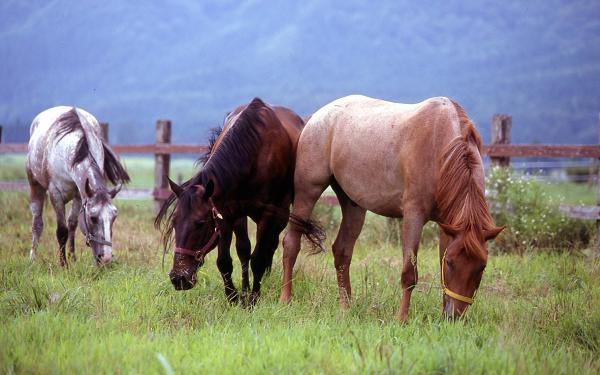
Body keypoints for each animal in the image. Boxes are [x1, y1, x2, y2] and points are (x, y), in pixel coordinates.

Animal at [26, 106, 129, 268]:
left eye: (114, 217)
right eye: (93, 218)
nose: (106, 258)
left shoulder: (80, 195)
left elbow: (73, 225)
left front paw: (72, 258)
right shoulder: (55, 194)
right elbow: (62, 231)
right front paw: (63, 265)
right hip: (35, 185)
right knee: (37, 223)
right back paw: (32, 258)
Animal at [156, 97, 304, 306]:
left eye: (201, 223)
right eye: (175, 222)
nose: (179, 278)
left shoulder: (269, 213)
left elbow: (258, 258)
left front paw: (253, 299)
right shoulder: (226, 213)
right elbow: (227, 259)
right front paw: (234, 297)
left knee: (270, 244)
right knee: (245, 250)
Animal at [278, 94, 504, 320]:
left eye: (481, 267)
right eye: (451, 263)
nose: (453, 317)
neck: (441, 148)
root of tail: (316, 117)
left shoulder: (447, 225)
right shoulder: (414, 216)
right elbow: (409, 273)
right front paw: (401, 319)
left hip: (354, 205)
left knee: (342, 251)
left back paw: (346, 307)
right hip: (308, 192)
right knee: (291, 243)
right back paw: (286, 299)